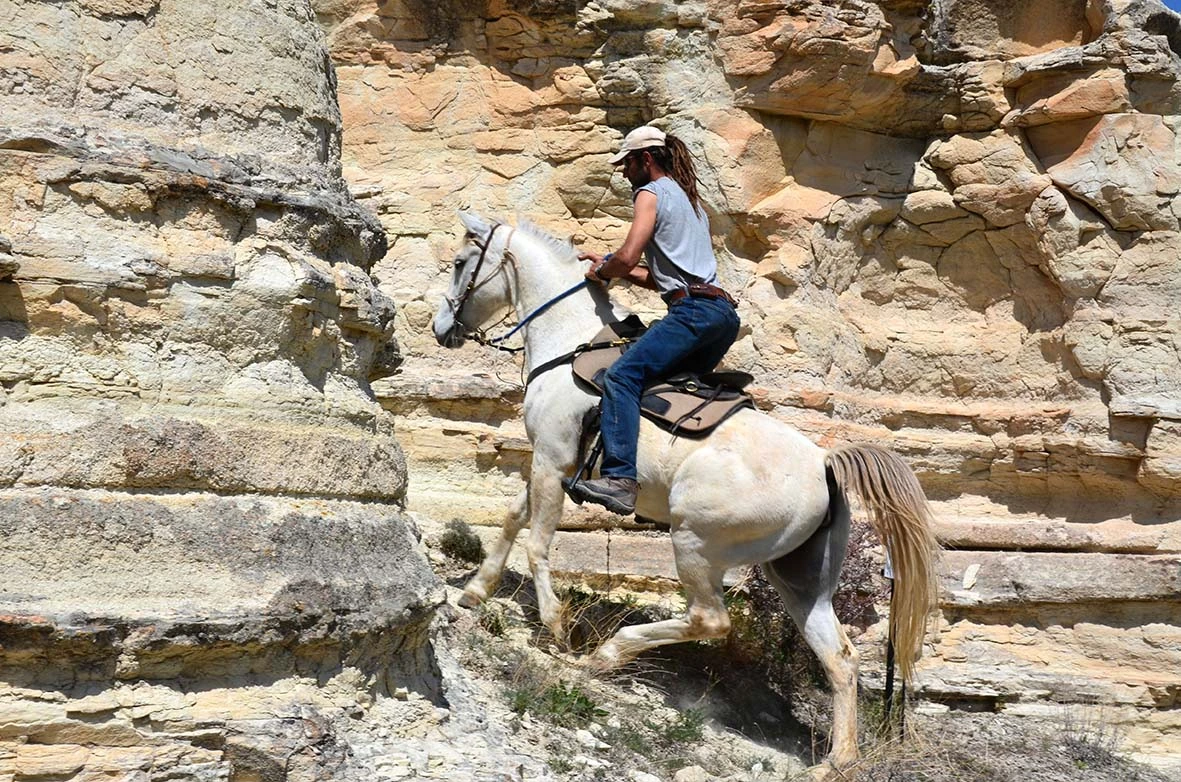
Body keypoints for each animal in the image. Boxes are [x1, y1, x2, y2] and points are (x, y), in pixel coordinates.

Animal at [431, 211, 939, 777]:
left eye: (460, 263)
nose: (440, 328)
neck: (570, 344)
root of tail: (824, 464)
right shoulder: (542, 462)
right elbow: (512, 518)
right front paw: (475, 591)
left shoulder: (553, 461)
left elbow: (537, 542)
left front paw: (555, 624)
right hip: (799, 580)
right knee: (840, 659)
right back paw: (836, 762)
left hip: (693, 542)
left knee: (711, 620)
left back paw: (609, 653)